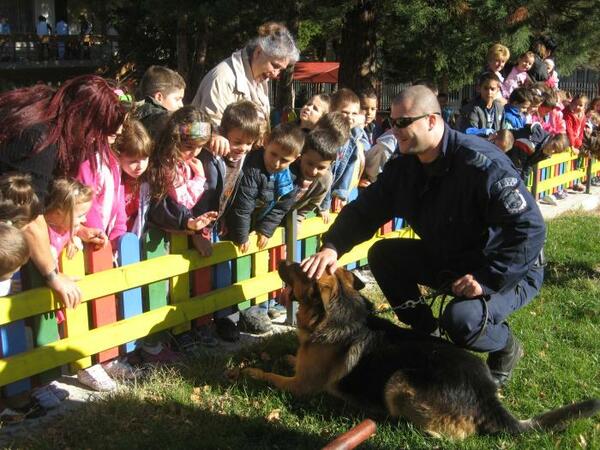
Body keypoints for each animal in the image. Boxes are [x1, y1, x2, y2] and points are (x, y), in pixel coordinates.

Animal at [244, 262, 600, 438]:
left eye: (301, 270)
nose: (283, 260)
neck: (338, 314)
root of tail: (486, 397)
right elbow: (291, 359)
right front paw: (286, 355)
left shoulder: (300, 387)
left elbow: (267, 375)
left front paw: (246, 370)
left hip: (398, 381)